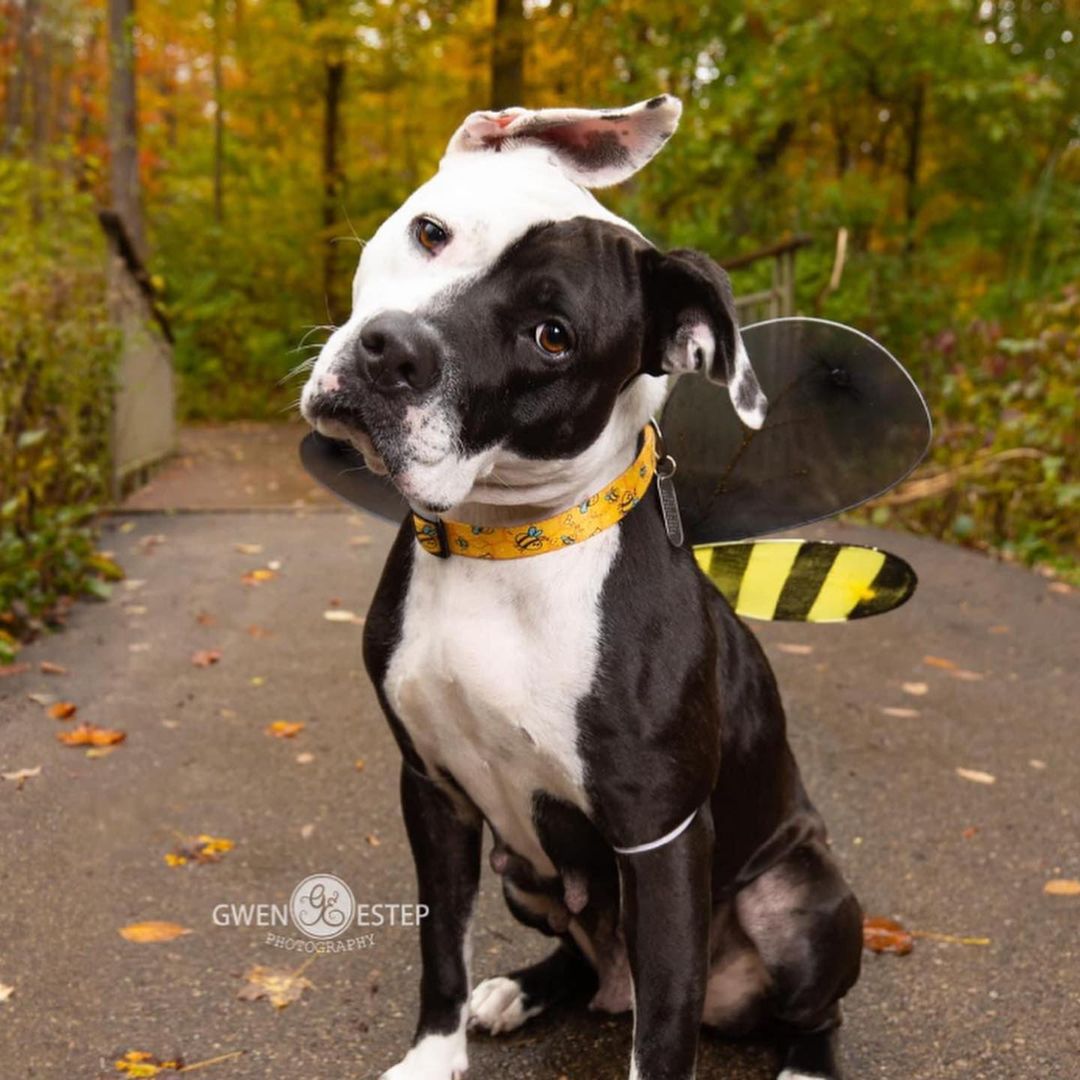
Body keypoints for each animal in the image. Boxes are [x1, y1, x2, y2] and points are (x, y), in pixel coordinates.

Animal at [302, 95, 859, 1080]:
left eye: (551, 337)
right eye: (431, 232)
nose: (391, 351)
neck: (501, 544)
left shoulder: (660, 838)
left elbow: (665, 1026)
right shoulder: (433, 789)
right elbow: (439, 945)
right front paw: (434, 1053)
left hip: (802, 897)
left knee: (807, 1008)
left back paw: (803, 1062)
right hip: (521, 876)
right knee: (579, 956)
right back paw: (524, 991)